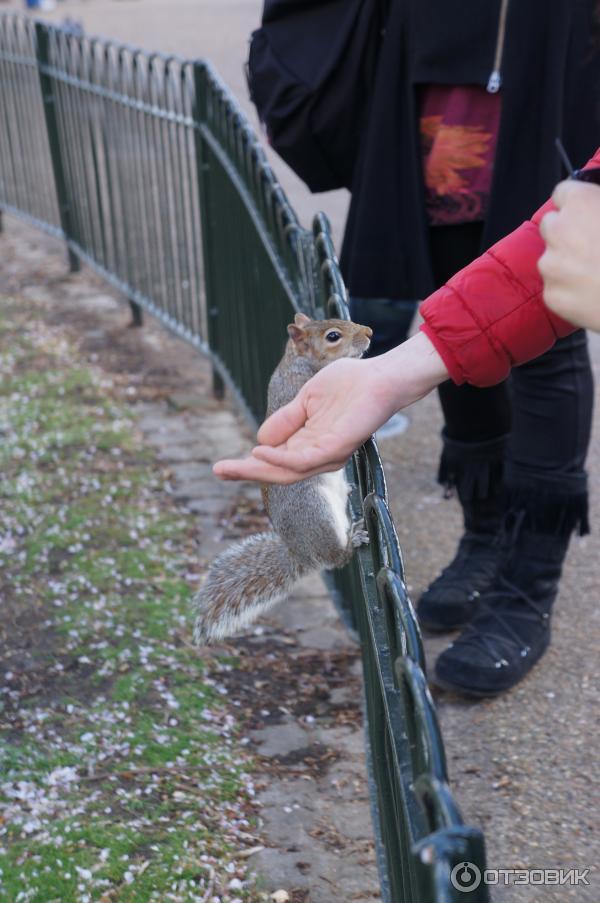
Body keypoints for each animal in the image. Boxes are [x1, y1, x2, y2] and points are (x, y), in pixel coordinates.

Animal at [193, 314, 370, 648]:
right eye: (333, 336)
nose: (369, 332)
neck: (297, 364)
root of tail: (298, 553)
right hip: (315, 513)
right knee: (334, 558)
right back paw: (351, 541)